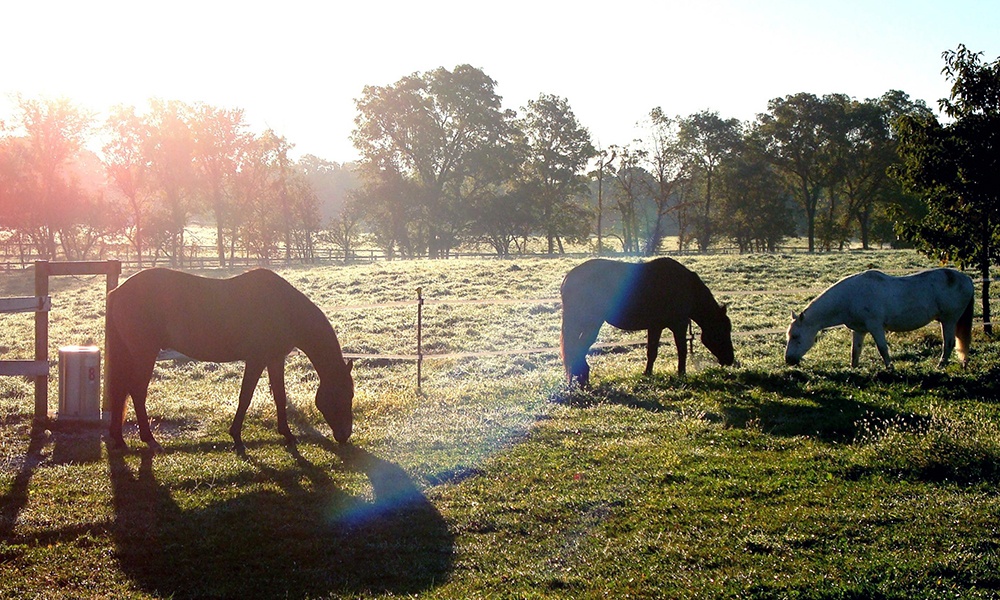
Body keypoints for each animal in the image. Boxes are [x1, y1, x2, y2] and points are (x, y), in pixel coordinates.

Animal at [105, 270, 354, 452]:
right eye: (345, 395)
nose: (345, 435)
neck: (285, 308)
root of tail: (117, 292)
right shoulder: (256, 360)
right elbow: (246, 396)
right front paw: (236, 434)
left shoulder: (275, 359)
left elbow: (280, 396)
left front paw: (287, 433)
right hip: (144, 353)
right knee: (137, 392)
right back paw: (149, 439)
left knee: (122, 393)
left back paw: (120, 440)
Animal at [564, 256, 736, 386]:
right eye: (722, 331)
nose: (730, 359)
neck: (686, 288)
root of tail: (569, 277)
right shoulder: (678, 326)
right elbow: (682, 350)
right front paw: (681, 374)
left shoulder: (656, 327)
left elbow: (652, 352)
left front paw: (647, 373)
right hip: (591, 322)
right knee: (579, 346)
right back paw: (582, 376)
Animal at [784, 268, 972, 370]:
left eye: (796, 336)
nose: (788, 360)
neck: (850, 296)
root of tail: (966, 278)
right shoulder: (859, 330)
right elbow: (855, 351)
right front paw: (853, 369)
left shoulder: (875, 327)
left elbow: (882, 348)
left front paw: (890, 368)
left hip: (949, 321)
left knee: (949, 344)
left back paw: (940, 366)